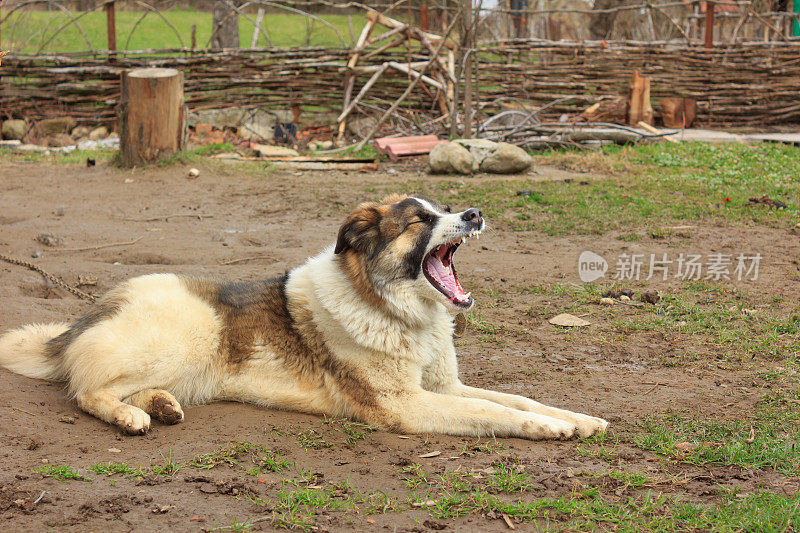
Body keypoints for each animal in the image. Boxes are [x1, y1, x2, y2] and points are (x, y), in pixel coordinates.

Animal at [0, 193, 608, 438]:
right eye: (419, 221)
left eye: (448, 209)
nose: (475, 213)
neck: (391, 310)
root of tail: (81, 320)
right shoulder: (405, 405)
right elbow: (494, 413)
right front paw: (550, 429)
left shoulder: (445, 388)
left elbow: (515, 399)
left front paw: (578, 419)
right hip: (185, 337)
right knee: (84, 391)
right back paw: (130, 416)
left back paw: (161, 406)